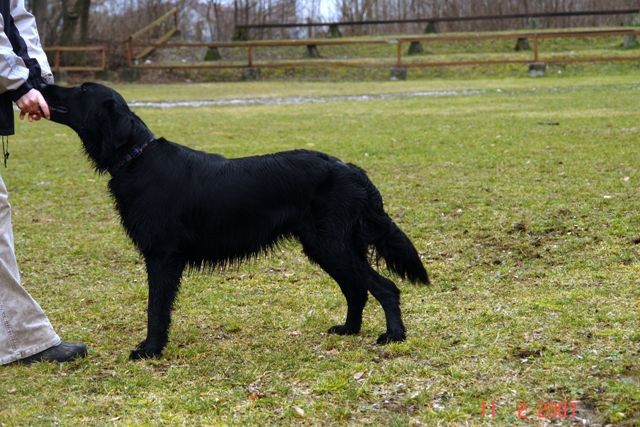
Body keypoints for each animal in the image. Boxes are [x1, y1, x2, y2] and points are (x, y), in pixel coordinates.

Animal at [41, 82, 430, 360]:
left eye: (82, 90)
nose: (42, 82)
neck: (137, 158)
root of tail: (352, 169)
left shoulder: (162, 255)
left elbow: (156, 308)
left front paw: (150, 349)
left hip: (331, 244)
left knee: (383, 287)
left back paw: (394, 335)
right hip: (327, 247)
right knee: (357, 288)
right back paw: (350, 329)